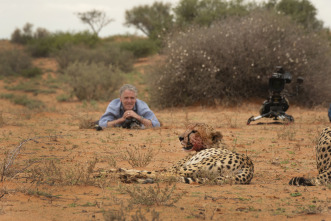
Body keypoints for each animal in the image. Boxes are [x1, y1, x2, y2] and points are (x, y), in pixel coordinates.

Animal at [115, 123, 255, 184]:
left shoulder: (175, 167)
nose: (180, 137)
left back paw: (125, 175)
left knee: (164, 174)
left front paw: (115, 170)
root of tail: (249, 167)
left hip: (191, 167)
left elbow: (149, 170)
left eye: (194, 131)